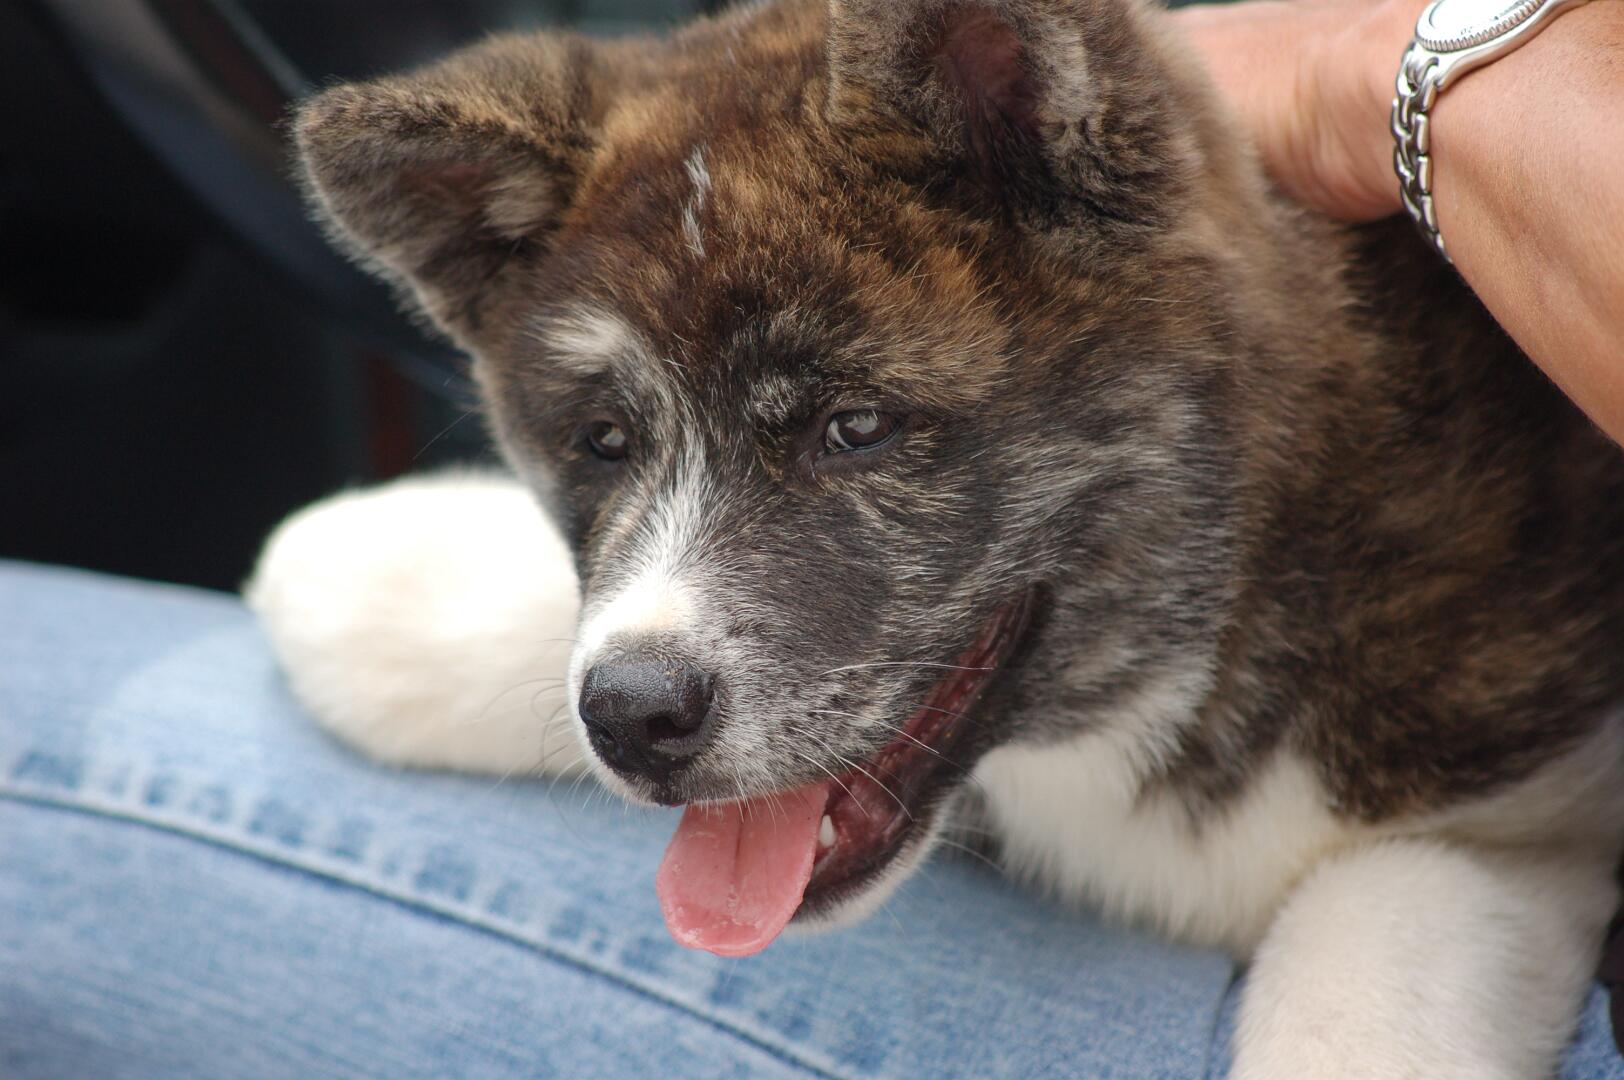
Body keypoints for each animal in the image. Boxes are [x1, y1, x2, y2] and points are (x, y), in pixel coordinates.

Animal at [246, 0, 1624, 1074]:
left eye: (855, 426)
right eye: (602, 443)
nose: (631, 718)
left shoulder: (1502, 828)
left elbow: (1358, 981)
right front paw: (381, 583)